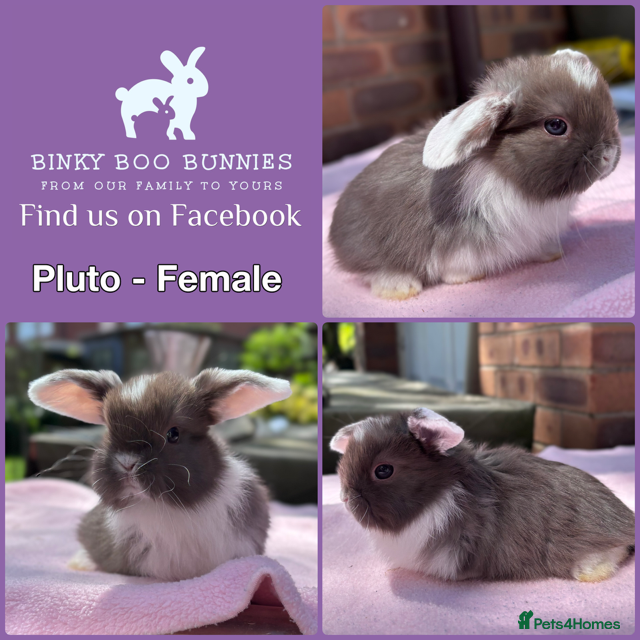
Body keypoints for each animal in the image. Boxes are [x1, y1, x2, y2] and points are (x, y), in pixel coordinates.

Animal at [329, 50, 621, 300]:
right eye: (556, 126)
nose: (608, 155)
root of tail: (334, 235)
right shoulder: (459, 242)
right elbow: (454, 265)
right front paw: (465, 278)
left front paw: (552, 253)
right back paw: (400, 288)